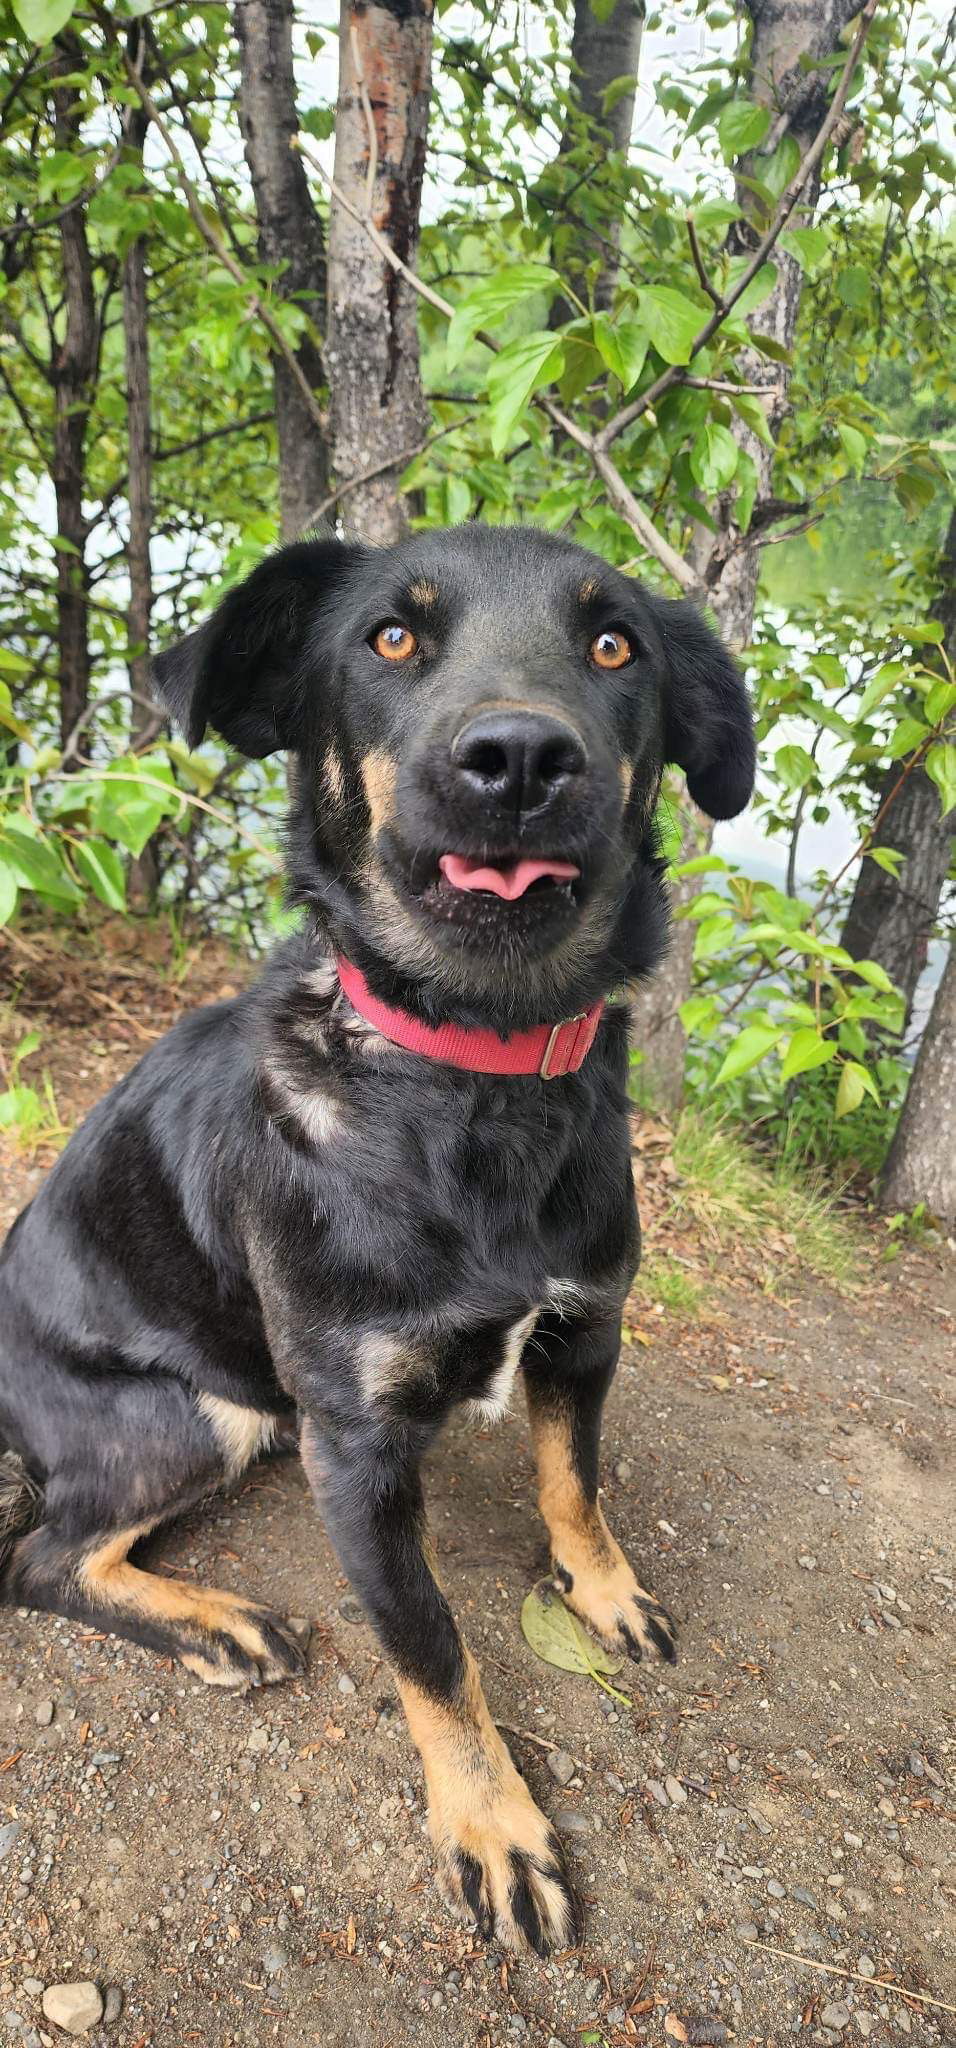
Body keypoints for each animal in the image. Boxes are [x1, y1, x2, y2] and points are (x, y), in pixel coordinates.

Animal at [0, 524, 757, 1949]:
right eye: (390, 638)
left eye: (613, 642)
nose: (517, 757)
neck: (475, 1067)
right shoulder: (351, 1447)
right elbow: (430, 1643)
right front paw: (492, 1821)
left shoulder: (584, 1327)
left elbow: (573, 1481)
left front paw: (599, 1585)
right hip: (201, 1413)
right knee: (40, 1555)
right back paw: (217, 1623)